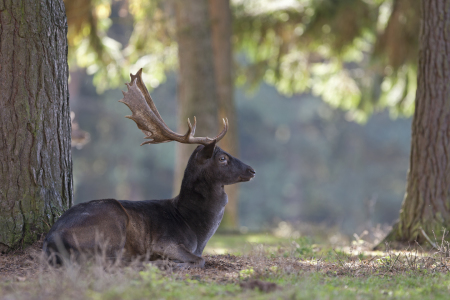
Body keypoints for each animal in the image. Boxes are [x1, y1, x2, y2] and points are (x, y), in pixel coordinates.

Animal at [43, 70, 255, 270]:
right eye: (222, 158)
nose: (252, 170)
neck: (196, 230)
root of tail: (51, 239)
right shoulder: (164, 242)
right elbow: (200, 259)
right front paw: (175, 264)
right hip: (112, 222)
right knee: (109, 261)